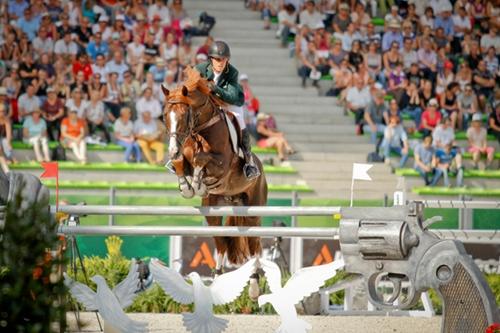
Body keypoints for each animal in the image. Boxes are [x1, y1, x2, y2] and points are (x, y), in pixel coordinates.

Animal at [162, 67, 268, 274]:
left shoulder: (222, 164)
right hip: (213, 212)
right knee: (221, 241)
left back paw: (255, 276)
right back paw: (218, 273)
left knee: (255, 245)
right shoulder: (184, 158)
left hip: (254, 212)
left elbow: (201, 159)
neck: (201, 131)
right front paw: (187, 187)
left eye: (184, 115)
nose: (172, 150)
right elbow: (181, 163)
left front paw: (198, 183)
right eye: (164, 116)